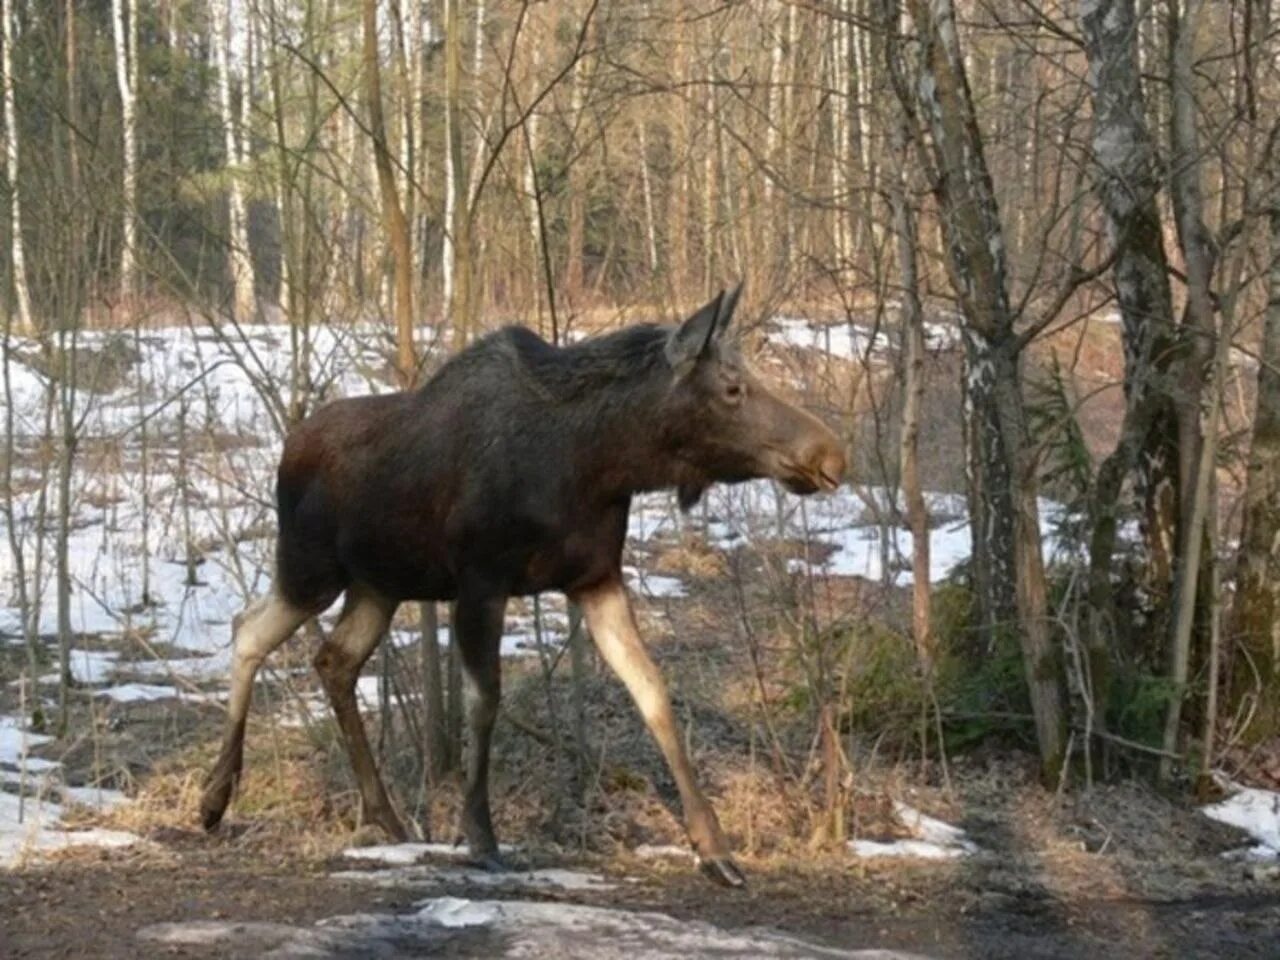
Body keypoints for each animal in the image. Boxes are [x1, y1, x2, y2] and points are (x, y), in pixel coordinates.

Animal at [199, 285, 844, 885]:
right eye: (732, 388)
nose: (830, 454)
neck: (600, 464)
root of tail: (289, 444)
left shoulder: (597, 579)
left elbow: (653, 692)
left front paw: (714, 847)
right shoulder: (481, 580)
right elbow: (485, 699)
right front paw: (480, 835)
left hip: (378, 587)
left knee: (334, 660)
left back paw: (385, 815)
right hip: (310, 569)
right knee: (247, 630)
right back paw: (214, 798)